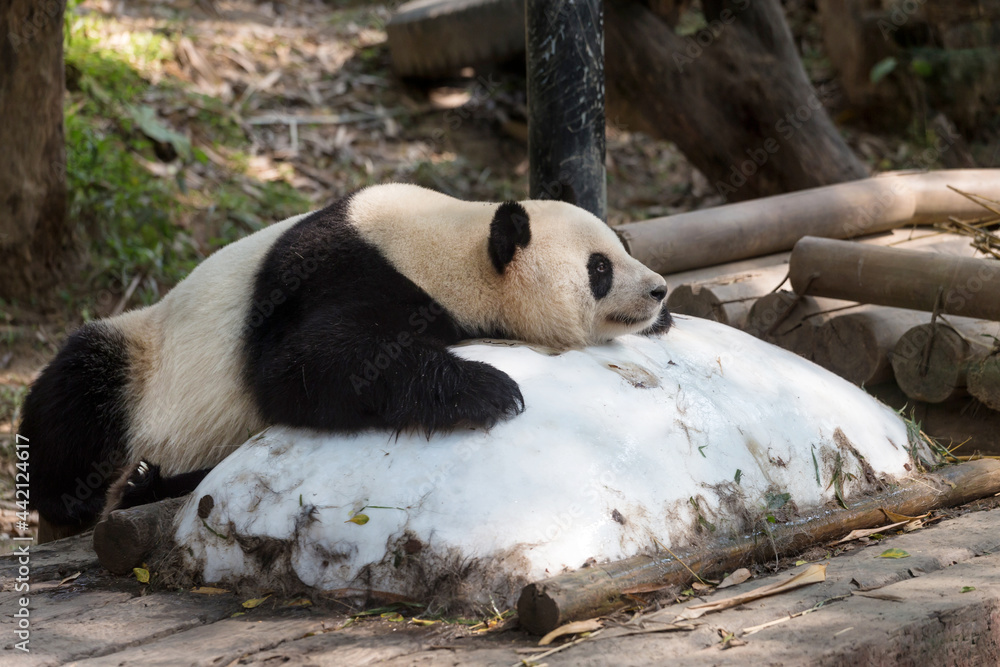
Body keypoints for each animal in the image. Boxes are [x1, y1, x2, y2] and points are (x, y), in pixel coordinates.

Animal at [21, 183, 671, 541]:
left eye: (624, 246)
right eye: (599, 268)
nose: (660, 289)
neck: (450, 243)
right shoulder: (343, 272)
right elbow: (305, 367)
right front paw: (487, 388)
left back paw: (148, 484)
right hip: (144, 356)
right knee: (78, 389)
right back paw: (82, 495)